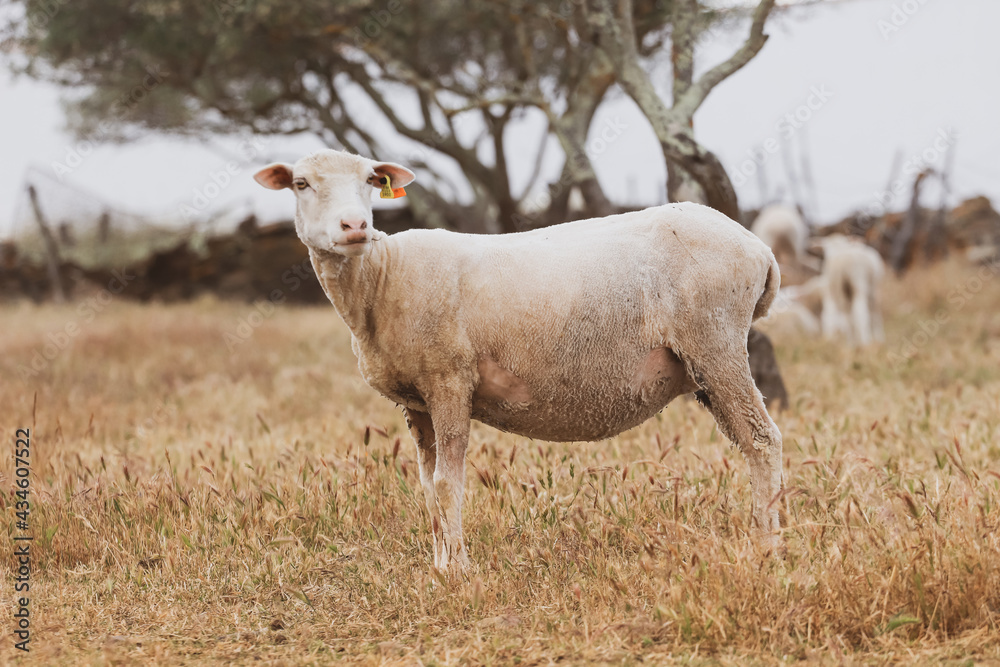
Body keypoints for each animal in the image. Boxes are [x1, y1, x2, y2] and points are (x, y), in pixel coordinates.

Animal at [254, 149, 784, 571]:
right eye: (301, 184)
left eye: (370, 180)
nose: (355, 227)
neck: (383, 277)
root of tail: (759, 248)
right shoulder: (417, 401)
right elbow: (426, 486)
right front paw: (439, 565)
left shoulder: (450, 380)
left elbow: (447, 482)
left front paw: (458, 571)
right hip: (706, 360)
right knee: (750, 443)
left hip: (716, 340)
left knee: (763, 440)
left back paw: (767, 549)